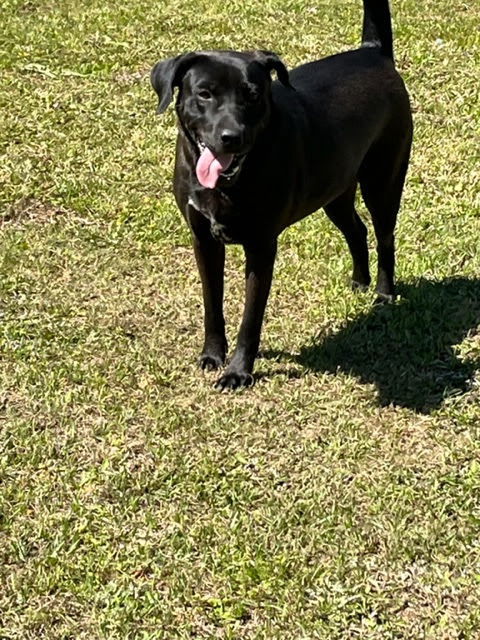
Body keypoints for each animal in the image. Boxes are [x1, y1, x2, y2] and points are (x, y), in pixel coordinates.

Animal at [151, 0, 412, 390]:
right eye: (204, 93)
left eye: (252, 94)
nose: (231, 137)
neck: (230, 183)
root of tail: (373, 52)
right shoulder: (203, 239)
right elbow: (212, 303)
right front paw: (212, 355)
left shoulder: (261, 246)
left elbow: (251, 317)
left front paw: (238, 371)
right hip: (334, 189)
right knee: (357, 229)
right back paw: (359, 283)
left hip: (384, 179)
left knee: (384, 236)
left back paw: (382, 294)